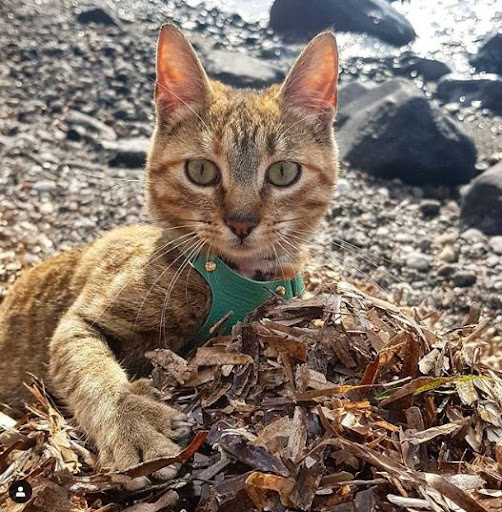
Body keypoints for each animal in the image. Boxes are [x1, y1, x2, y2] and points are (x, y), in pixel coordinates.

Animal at [0, 23, 340, 472]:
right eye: (201, 171)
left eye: (283, 172)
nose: (242, 222)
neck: (237, 279)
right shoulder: (80, 322)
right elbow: (94, 373)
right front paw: (132, 420)